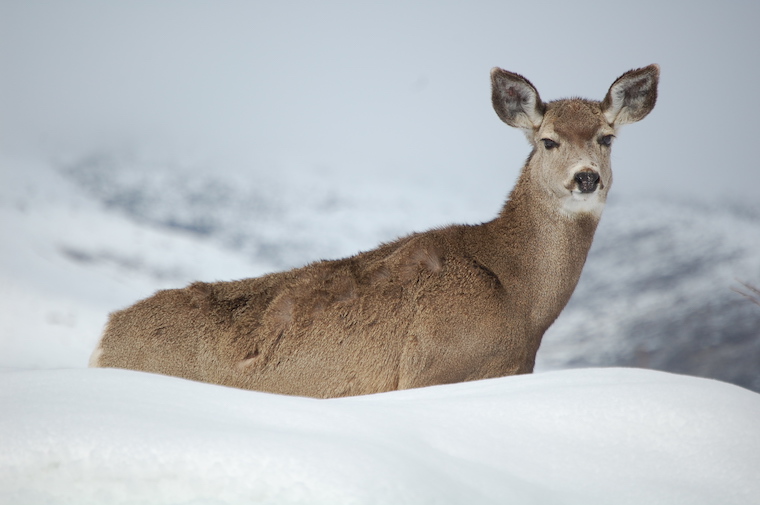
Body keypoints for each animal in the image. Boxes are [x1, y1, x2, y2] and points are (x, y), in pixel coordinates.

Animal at [90, 64, 659, 398]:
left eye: (607, 138)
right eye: (548, 140)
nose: (586, 177)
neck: (519, 299)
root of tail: (104, 338)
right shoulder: (429, 367)